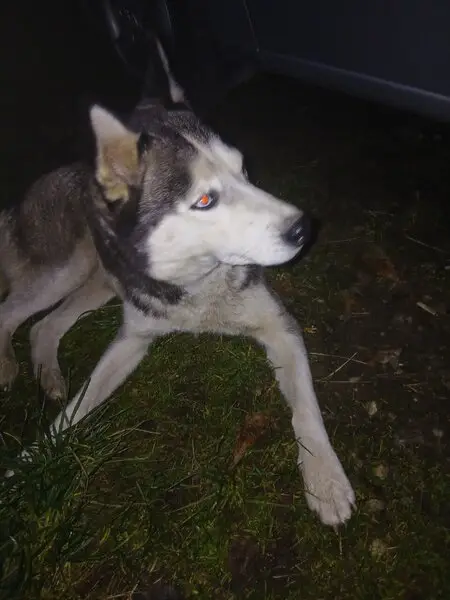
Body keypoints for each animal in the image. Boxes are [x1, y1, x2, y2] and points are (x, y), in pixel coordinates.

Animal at [0, 40, 355, 526]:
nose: (303, 228)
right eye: (205, 200)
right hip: (64, 269)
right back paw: (8, 366)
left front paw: (326, 481)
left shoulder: (279, 327)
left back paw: (48, 374)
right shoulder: (133, 338)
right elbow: (74, 412)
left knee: (43, 325)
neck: (196, 286)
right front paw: (26, 464)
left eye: (244, 170)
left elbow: (307, 411)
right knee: (11, 312)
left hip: (100, 285)